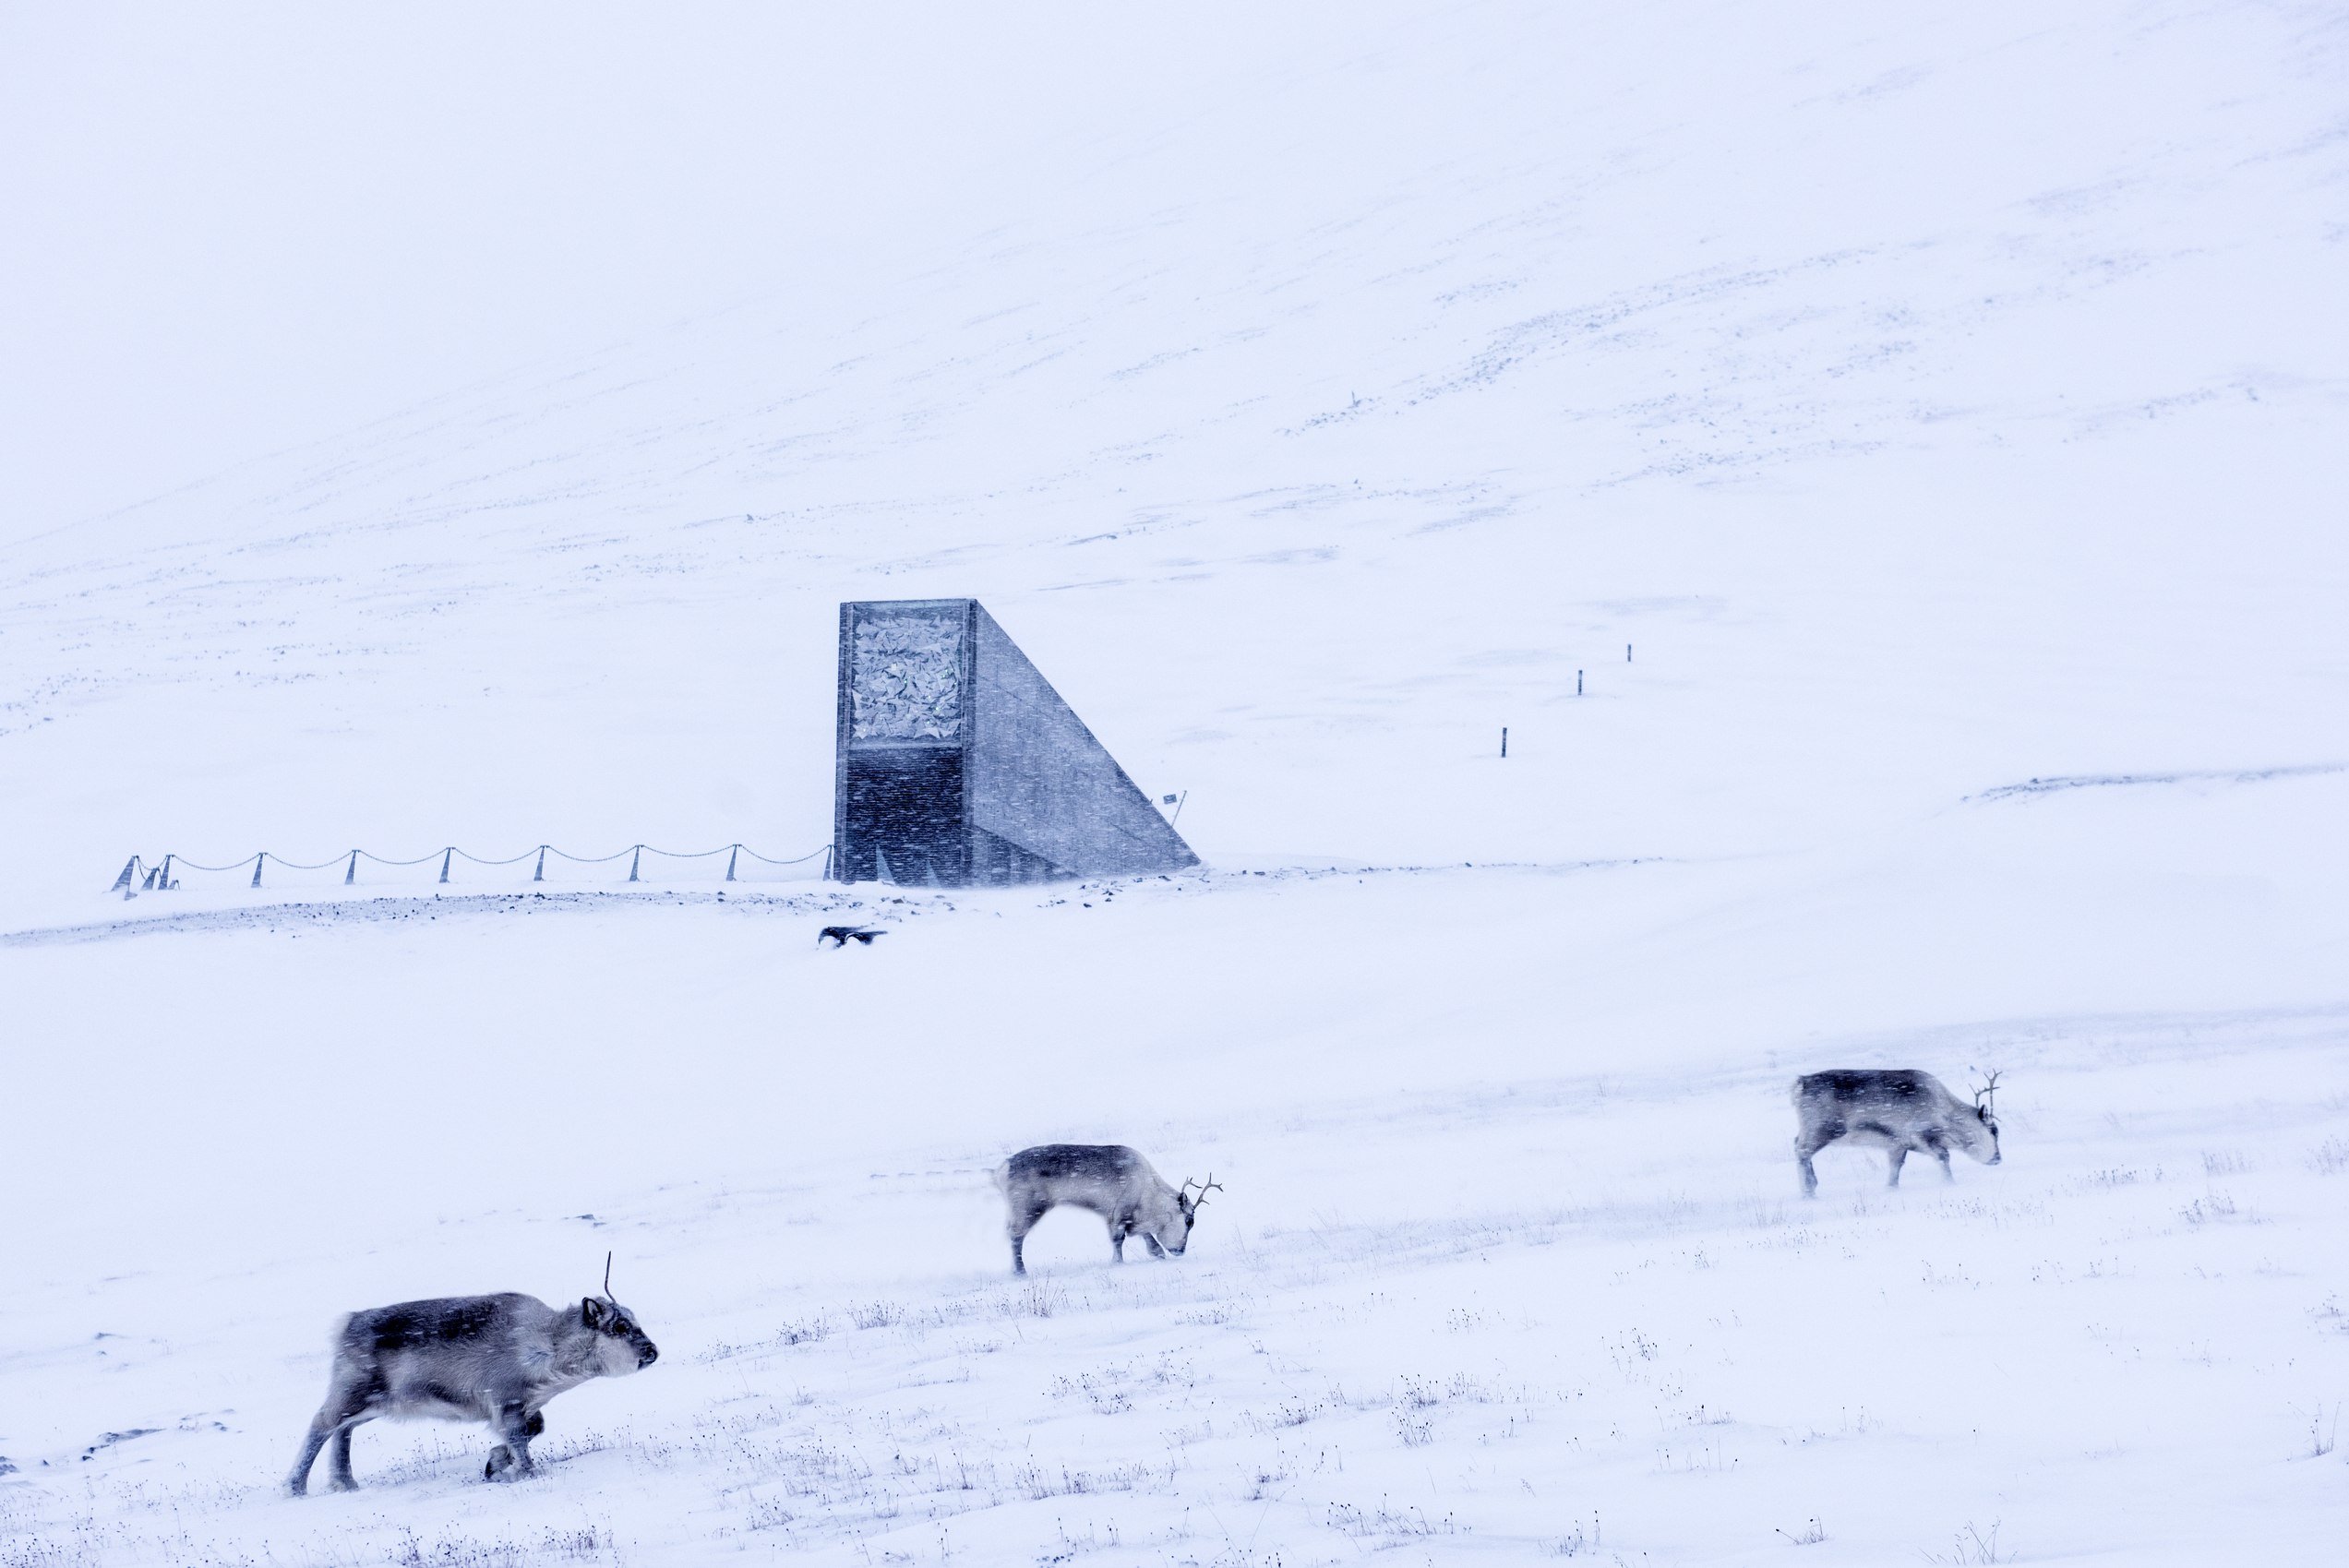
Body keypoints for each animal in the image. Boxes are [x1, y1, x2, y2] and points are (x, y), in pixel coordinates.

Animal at [285, 1257, 657, 1494]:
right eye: (619, 1326)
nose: (653, 1351)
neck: (549, 1344)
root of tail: (346, 1324)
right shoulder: (508, 1403)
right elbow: (521, 1443)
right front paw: (519, 1472)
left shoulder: (525, 1406)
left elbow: (534, 1429)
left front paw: (494, 1464)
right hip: (353, 1393)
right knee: (322, 1425)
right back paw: (295, 1488)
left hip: (373, 1405)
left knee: (343, 1432)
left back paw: (345, 1484)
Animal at [991, 1145, 1220, 1275]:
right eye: (1189, 1220)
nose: (1180, 1251)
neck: (1149, 1192)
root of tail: (1002, 1169)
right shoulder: (1119, 1213)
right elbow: (1118, 1240)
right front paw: (1117, 1263)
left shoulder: (1132, 1216)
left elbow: (1149, 1239)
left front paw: (1158, 1254)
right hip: (1028, 1208)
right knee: (1016, 1236)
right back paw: (1021, 1272)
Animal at [1793, 1069, 2001, 1196]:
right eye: (1994, 1131)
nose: (1998, 1159)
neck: (1947, 1114)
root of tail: (1801, 1083)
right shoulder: (1922, 1135)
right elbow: (1944, 1156)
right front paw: (1950, 1184)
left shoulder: (1897, 1145)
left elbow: (1895, 1170)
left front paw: (1891, 1190)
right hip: (1824, 1130)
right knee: (1801, 1151)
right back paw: (1808, 1191)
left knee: (1797, 1144)